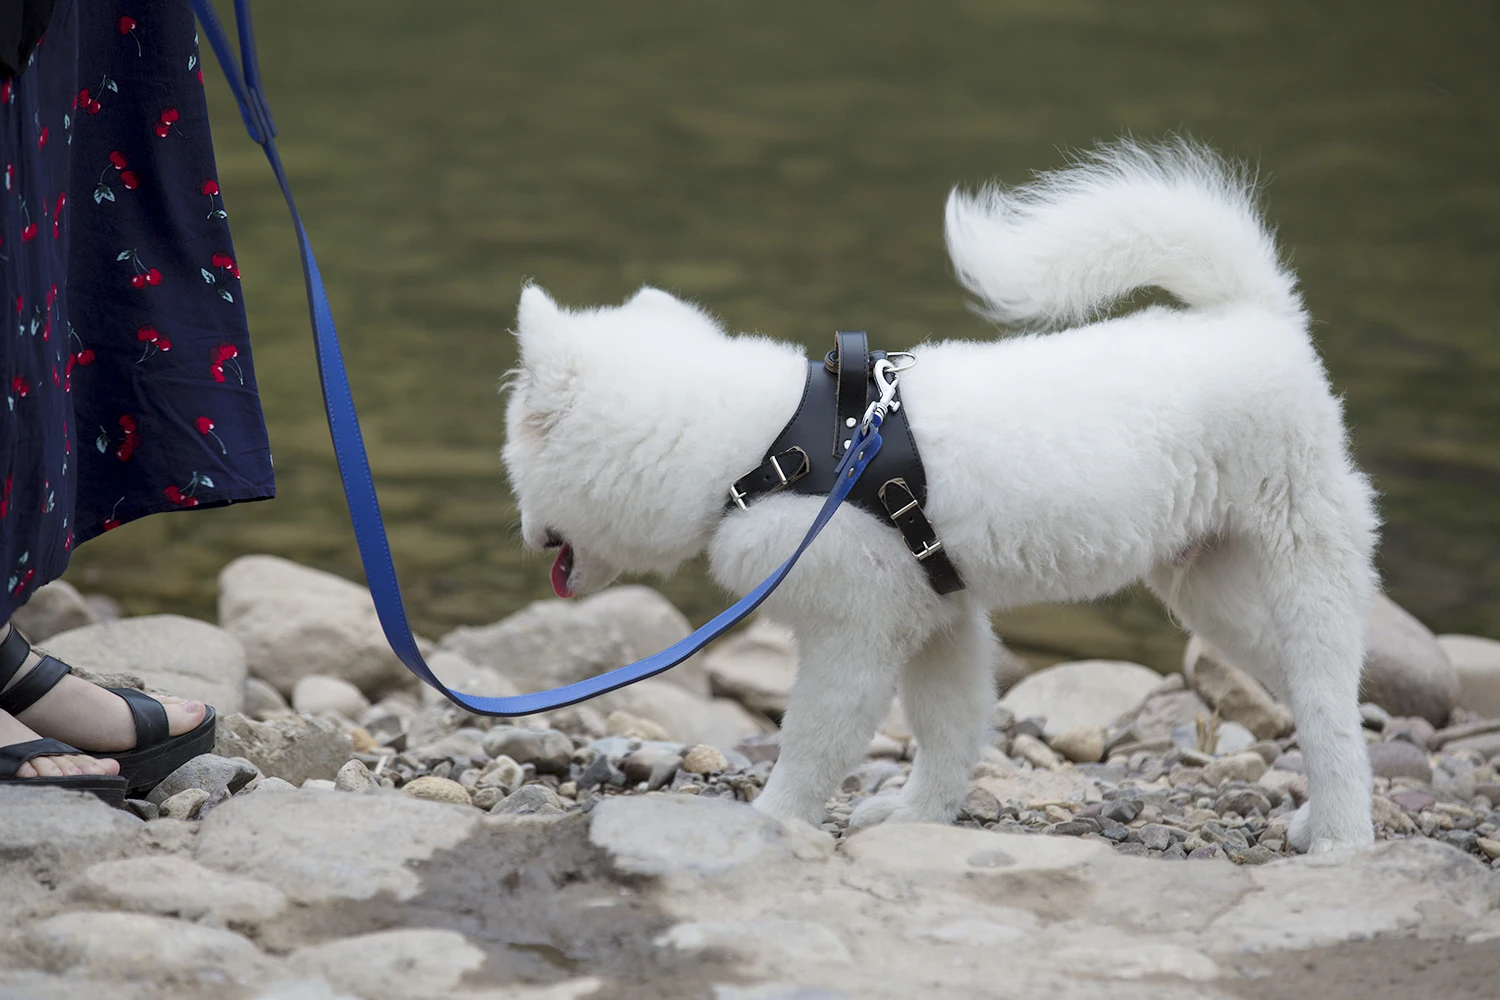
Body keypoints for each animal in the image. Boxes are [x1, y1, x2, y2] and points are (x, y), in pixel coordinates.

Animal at [510, 140, 1374, 857]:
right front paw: (916, 818)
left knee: (1329, 701)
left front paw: (769, 823)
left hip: (1303, 561)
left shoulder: (855, 633)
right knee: (1314, 696)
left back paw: (1341, 839)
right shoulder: (938, 613)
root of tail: (1261, 318)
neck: (774, 447)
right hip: (1216, 591)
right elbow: (949, 725)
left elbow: (813, 741)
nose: (525, 533)